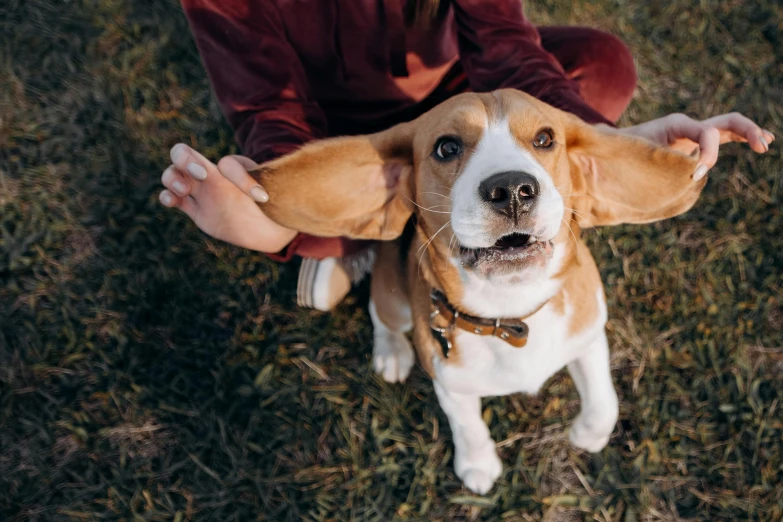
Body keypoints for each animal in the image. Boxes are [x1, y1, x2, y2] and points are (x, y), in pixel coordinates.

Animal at [254, 89, 708, 492]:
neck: (511, 311)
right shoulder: (450, 383)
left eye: (544, 139)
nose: (512, 190)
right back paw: (391, 353)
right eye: (446, 147)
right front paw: (477, 466)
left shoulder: (589, 331)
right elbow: (468, 425)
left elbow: (604, 401)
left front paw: (588, 435)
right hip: (393, 298)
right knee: (381, 315)